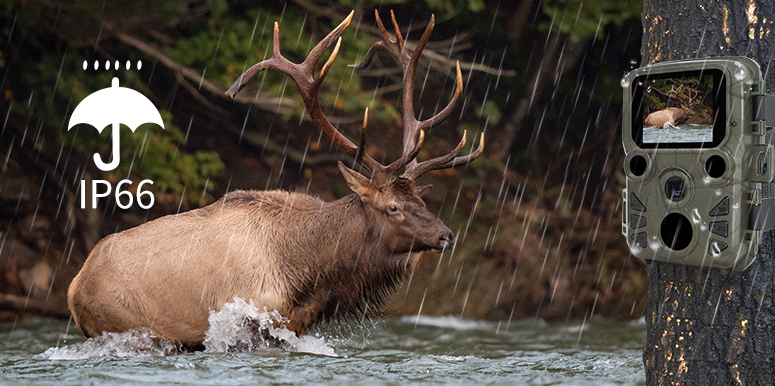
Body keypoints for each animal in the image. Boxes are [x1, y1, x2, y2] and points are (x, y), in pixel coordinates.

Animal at [66, 10, 482, 348]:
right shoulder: (249, 320)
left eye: (422, 201)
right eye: (393, 207)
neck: (309, 272)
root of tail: (73, 286)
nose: (446, 234)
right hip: (127, 327)